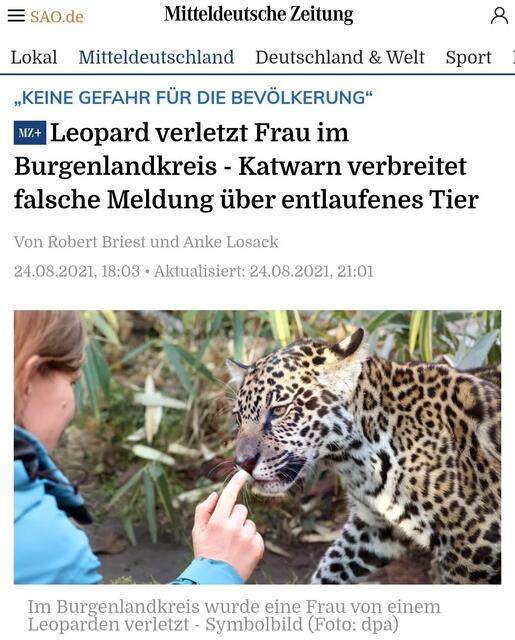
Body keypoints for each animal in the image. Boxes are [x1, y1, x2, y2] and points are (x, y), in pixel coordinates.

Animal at [228, 328, 501, 584]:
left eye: (279, 410)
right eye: (238, 417)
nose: (243, 463)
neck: (357, 460)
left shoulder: (473, 546)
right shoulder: (374, 530)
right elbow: (330, 569)